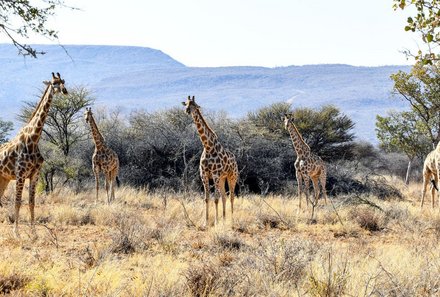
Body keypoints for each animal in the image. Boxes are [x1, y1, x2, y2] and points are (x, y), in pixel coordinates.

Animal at [0, 71, 67, 236]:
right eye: (54, 83)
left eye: (63, 81)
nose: (65, 91)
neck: (33, 139)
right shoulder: (20, 173)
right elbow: (18, 201)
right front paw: (16, 233)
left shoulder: (35, 173)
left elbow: (31, 202)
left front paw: (34, 233)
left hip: (4, 178)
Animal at [181, 96, 239, 225]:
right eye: (186, 103)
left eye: (194, 104)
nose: (187, 110)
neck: (208, 147)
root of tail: (235, 159)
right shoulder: (204, 175)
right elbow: (207, 198)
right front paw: (206, 222)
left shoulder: (215, 174)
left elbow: (215, 199)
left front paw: (216, 222)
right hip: (222, 178)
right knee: (224, 196)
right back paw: (224, 218)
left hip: (232, 176)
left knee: (231, 196)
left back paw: (232, 219)